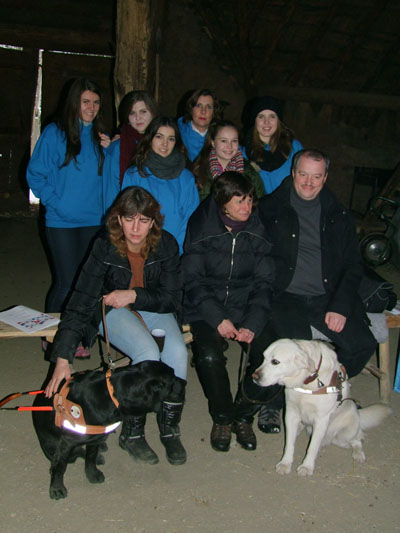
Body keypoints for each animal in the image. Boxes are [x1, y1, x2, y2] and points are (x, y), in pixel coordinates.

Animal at [33, 362, 177, 498]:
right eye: (172, 379)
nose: (182, 382)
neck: (112, 396)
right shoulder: (67, 442)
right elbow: (60, 466)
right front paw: (56, 488)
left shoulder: (94, 436)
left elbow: (90, 457)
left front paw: (92, 473)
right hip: (50, 446)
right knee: (73, 453)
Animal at [253, 338, 390, 476]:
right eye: (263, 358)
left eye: (275, 362)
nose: (254, 377)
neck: (306, 381)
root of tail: (358, 413)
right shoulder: (291, 412)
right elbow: (289, 444)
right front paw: (285, 463)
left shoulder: (321, 419)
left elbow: (312, 447)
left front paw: (307, 466)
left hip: (343, 435)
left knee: (357, 440)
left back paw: (358, 454)